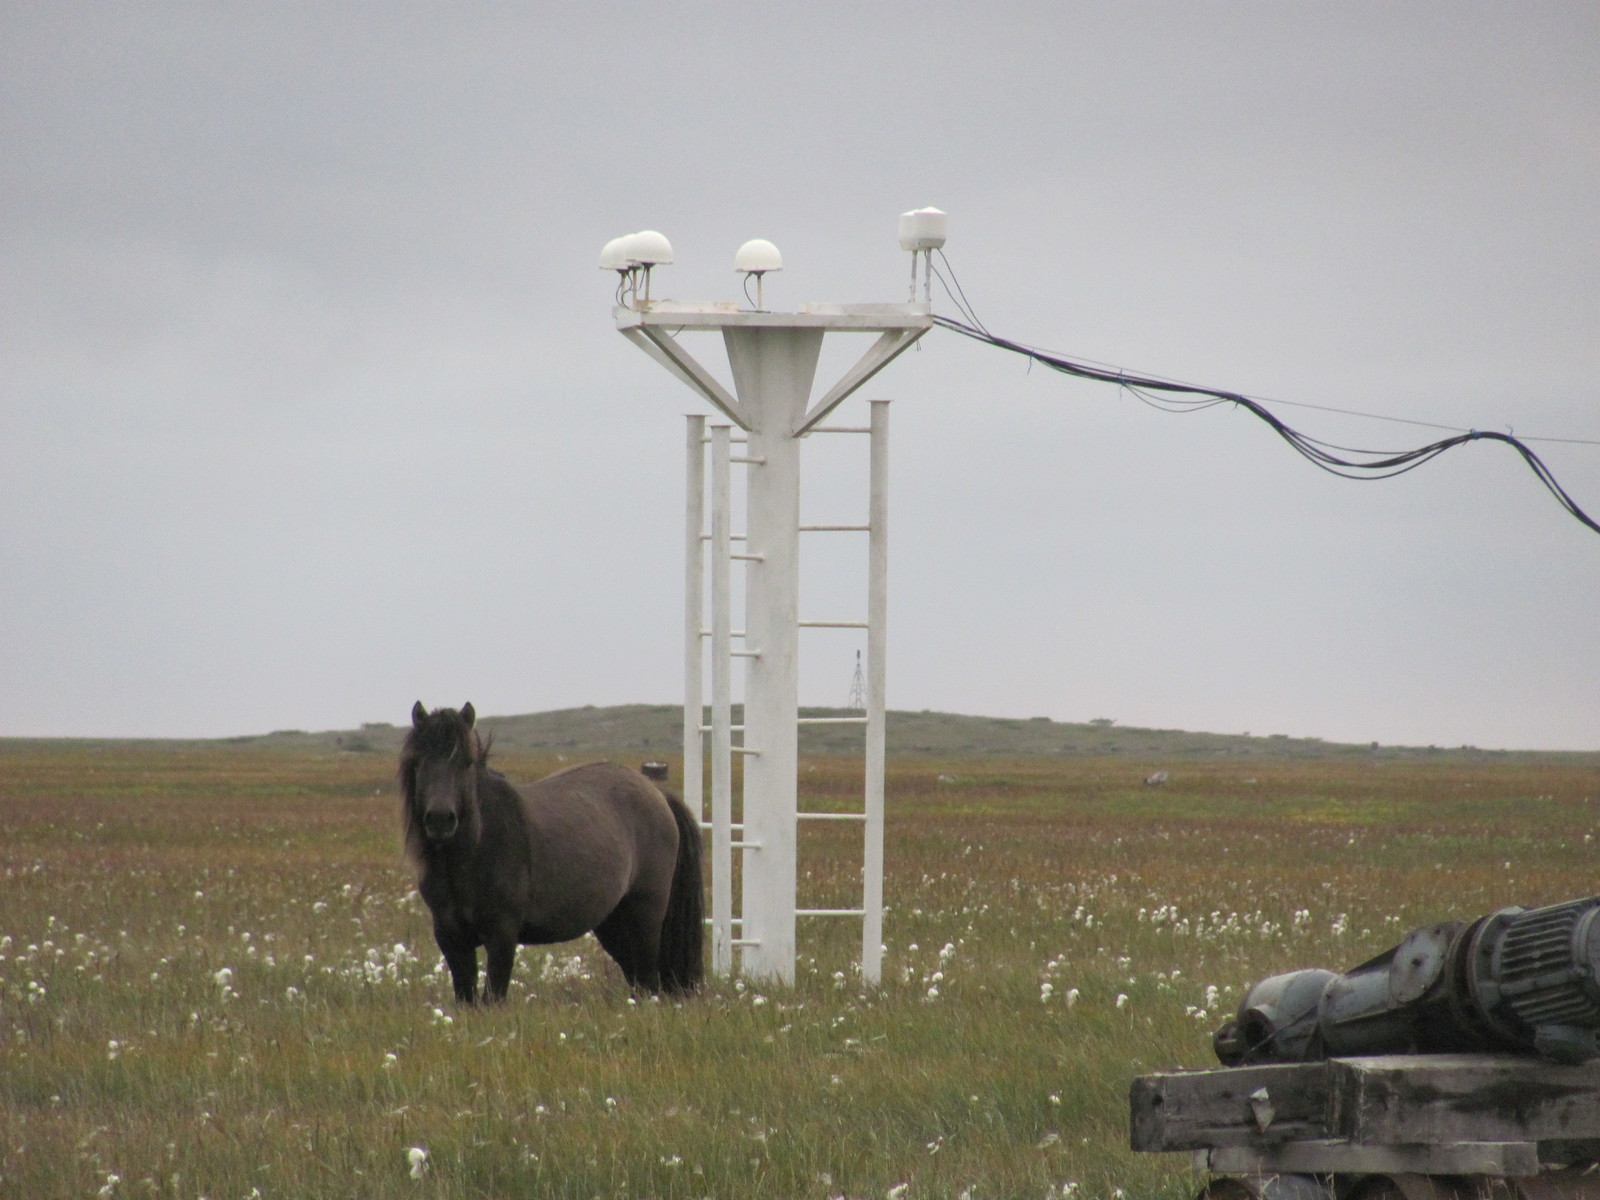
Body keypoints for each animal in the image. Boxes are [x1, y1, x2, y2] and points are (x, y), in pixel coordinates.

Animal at [398, 704, 700, 1004]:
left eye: (467, 762)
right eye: (418, 762)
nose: (440, 819)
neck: (474, 854)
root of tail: (657, 792)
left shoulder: (502, 936)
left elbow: (493, 998)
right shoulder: (451, 939)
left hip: (645, 917)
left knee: (648, 981)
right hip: (613, 923)